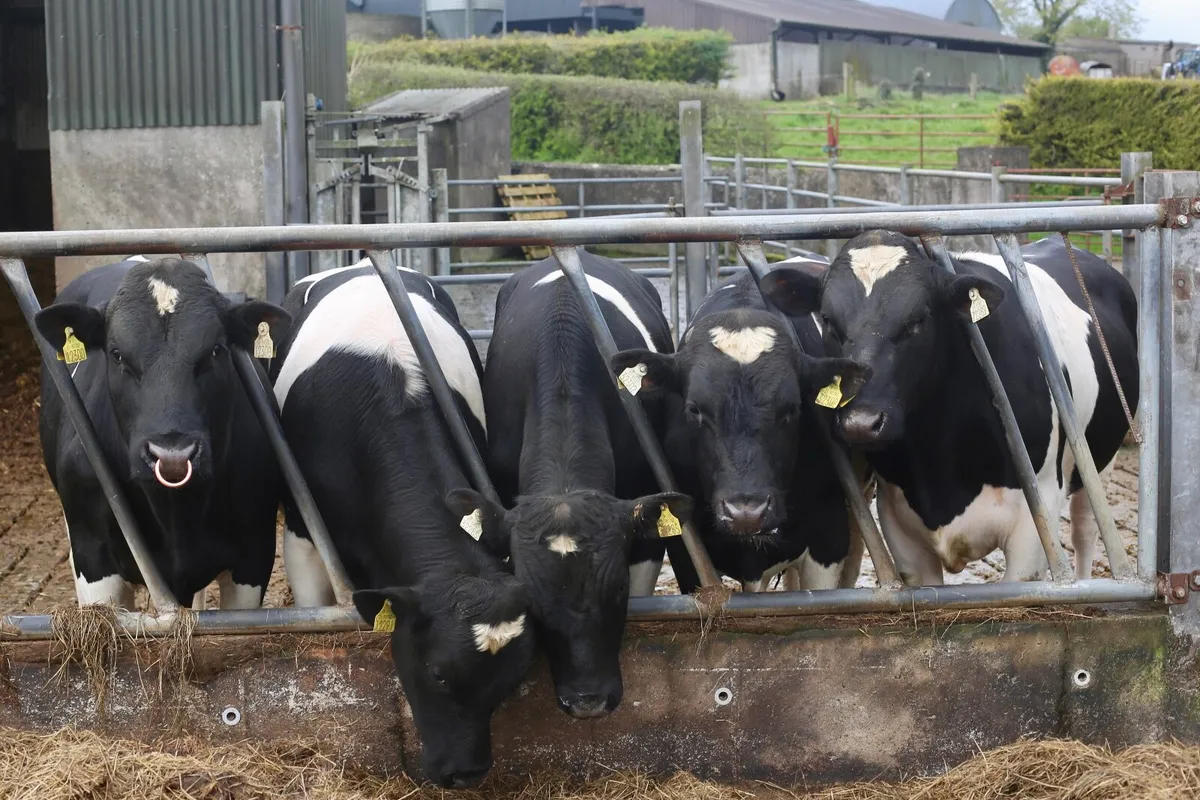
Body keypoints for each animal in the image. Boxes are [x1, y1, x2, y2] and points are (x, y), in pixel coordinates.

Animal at [759, 231, 1138, 585]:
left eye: (918, 320)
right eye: (828, 320)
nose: (860, 423)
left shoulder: (1035, 523)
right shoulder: (900, 527)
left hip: (1100, 458)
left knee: (1086, 527)